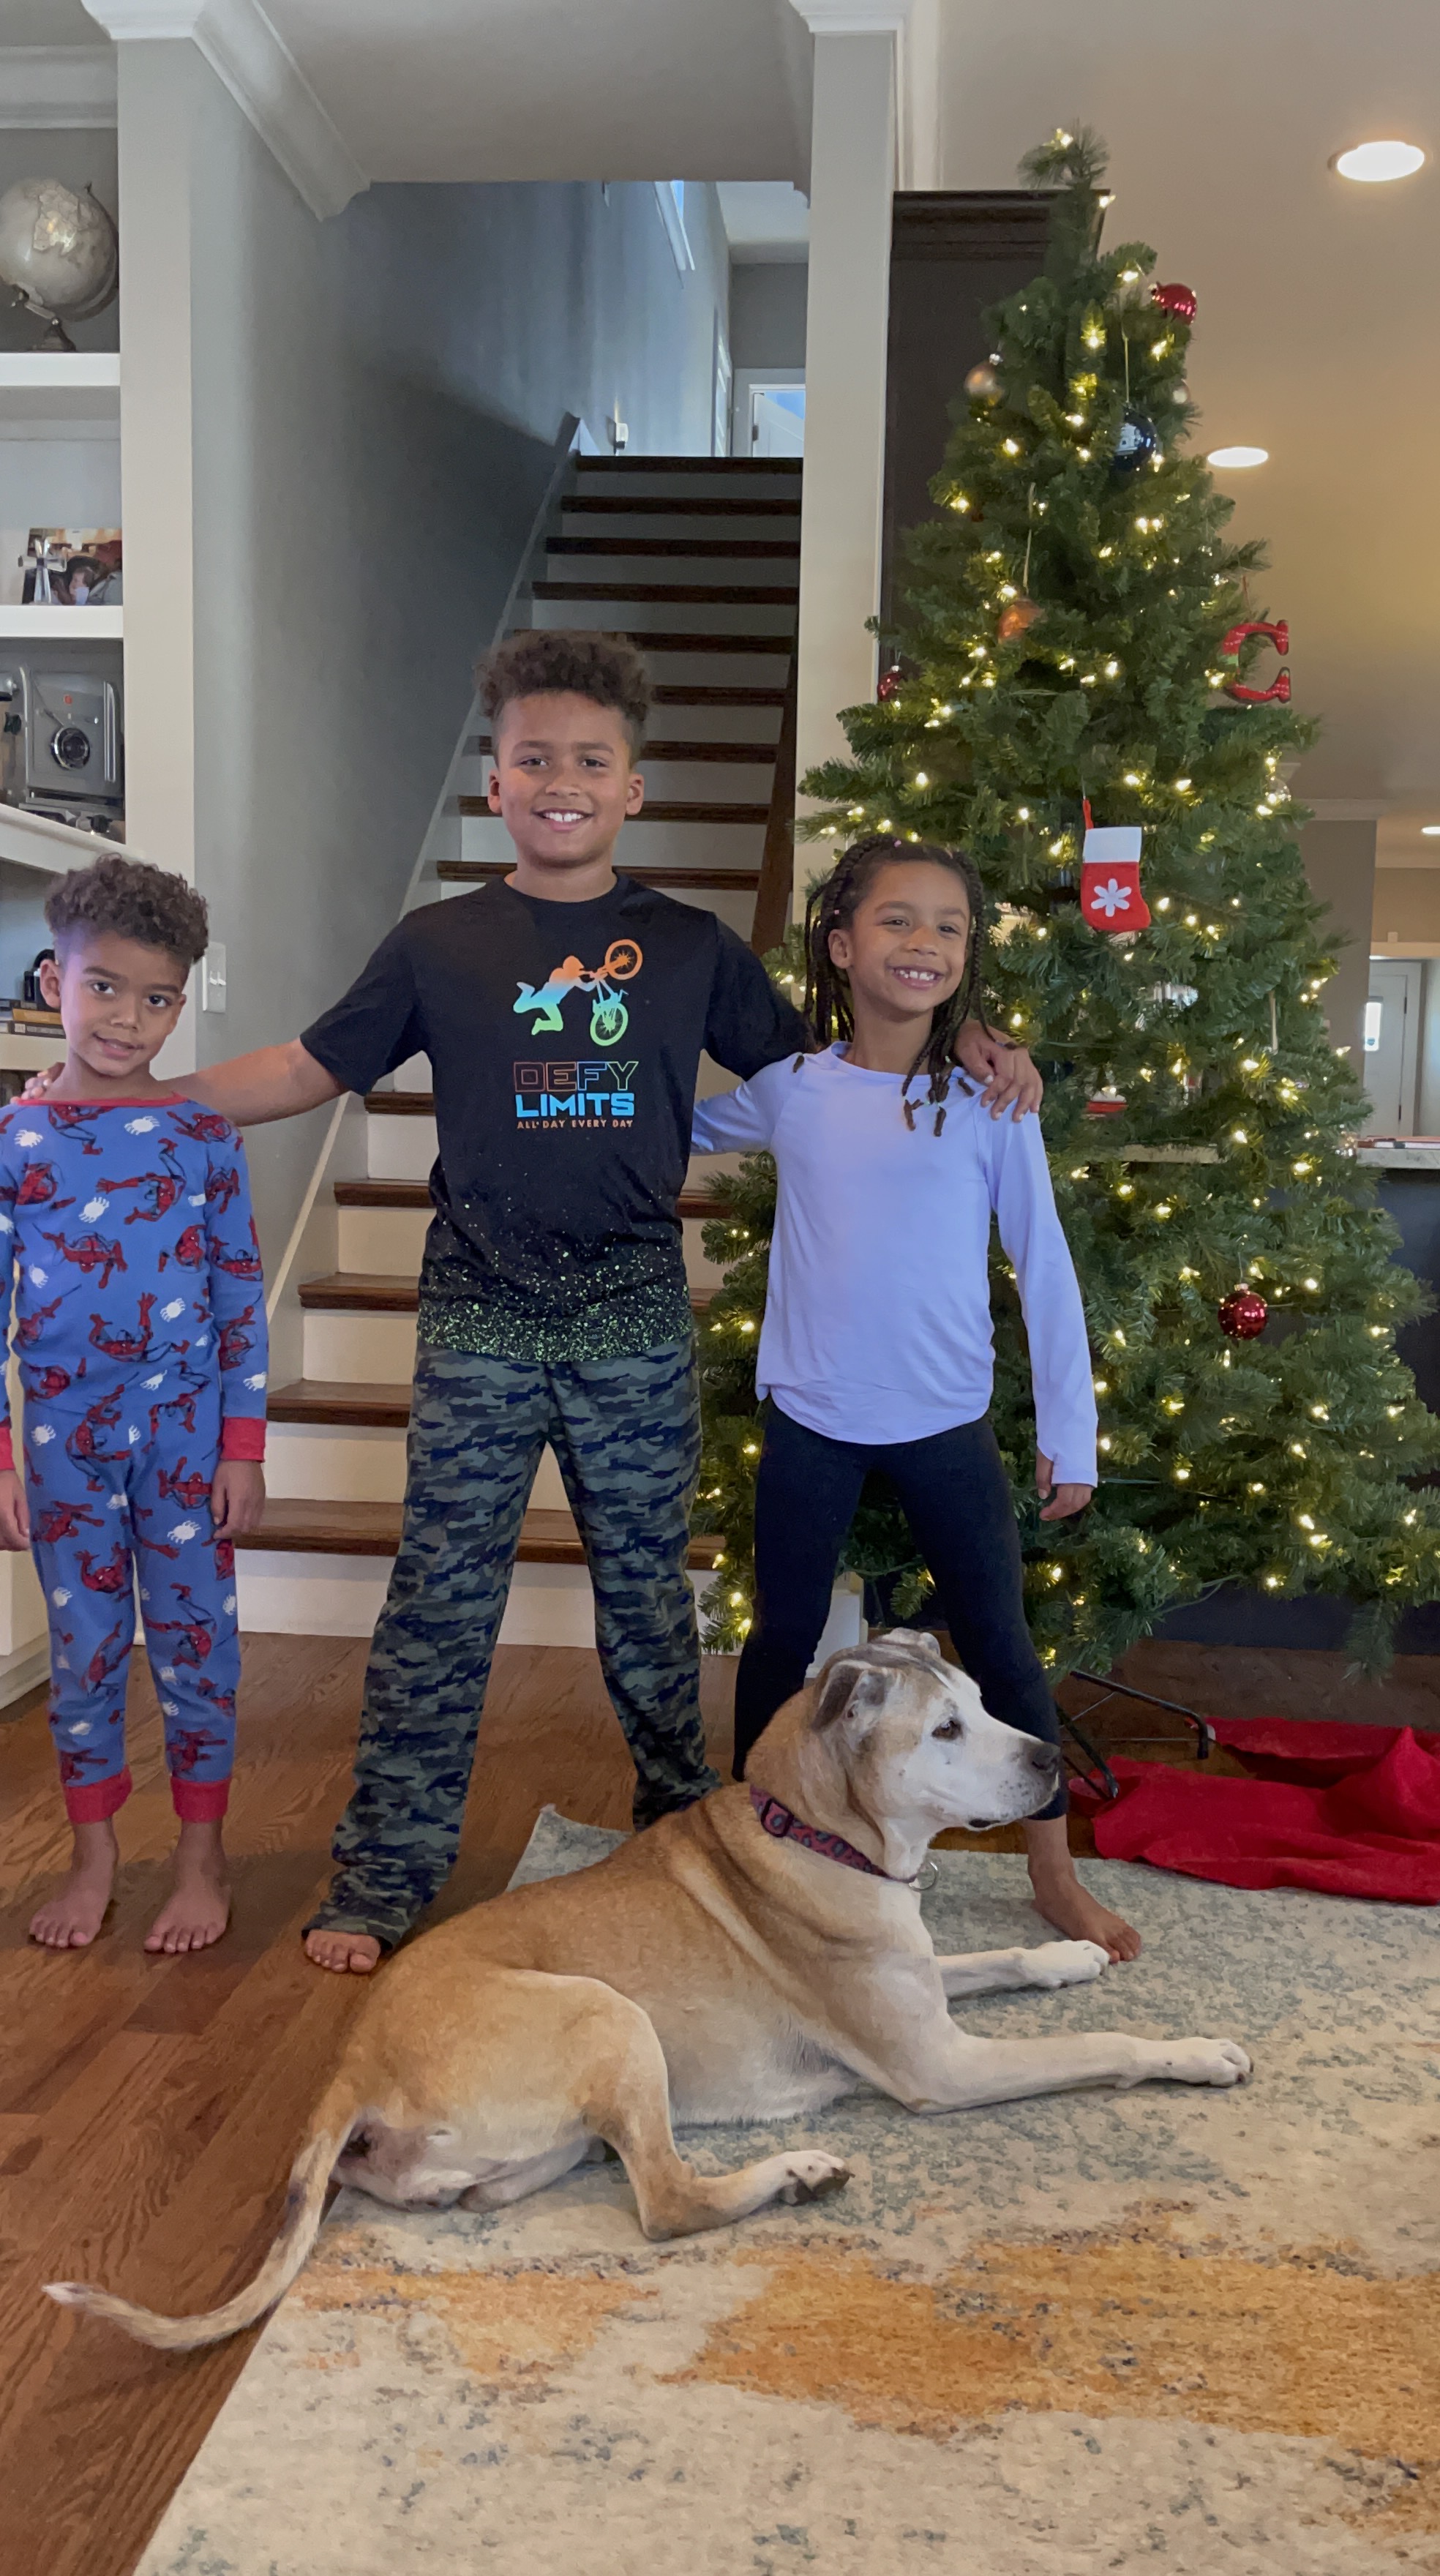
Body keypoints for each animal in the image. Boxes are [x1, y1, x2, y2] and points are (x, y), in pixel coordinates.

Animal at [46, 1632, 1249, 2349]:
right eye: (946, 1730)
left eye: (989, 1705)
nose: (1049, 1762)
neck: (822, 1833)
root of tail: (350, 2065)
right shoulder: (939, 2063)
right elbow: (1102, 2045)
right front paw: (1198, 2051)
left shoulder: (925, 1991)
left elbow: (1000, 1964)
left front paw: (1070, 1954)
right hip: (608, 2013)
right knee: (667, 2201)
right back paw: (793, 2173)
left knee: (517, 2188)